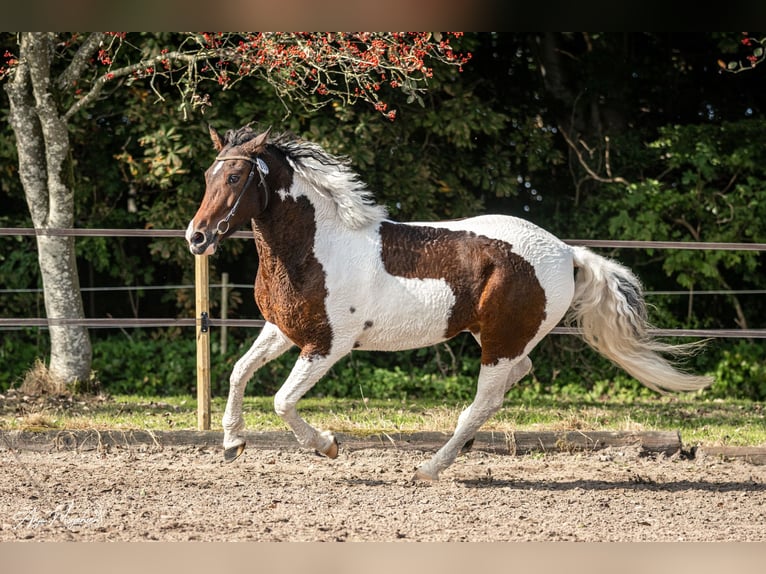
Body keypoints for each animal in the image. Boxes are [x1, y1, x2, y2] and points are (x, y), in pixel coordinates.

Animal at [186, 125, 712, 482]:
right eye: (210, 174)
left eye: (235, 176)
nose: (197, 237)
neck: (316, 248)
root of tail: (568, 252)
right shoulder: (282, 329)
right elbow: (238, 372)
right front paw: (232, 442)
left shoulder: (327, 345)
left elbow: (281, 400)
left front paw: (329, 446)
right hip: (496, 336)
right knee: (514, 378)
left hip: (499, 341)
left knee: (484, 400)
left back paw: (430, 467)